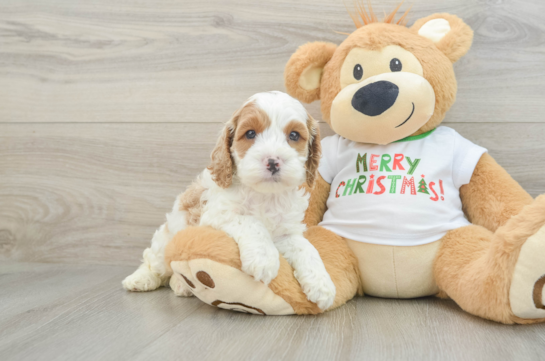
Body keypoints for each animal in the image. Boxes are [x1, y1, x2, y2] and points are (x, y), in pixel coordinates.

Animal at [123, 92, 336, 310]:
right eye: (250, 134)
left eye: (294, 135)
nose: (272, 162)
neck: (264, 194)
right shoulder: (215, 215)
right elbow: (251, 222)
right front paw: (263, 259)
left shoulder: (286, 231)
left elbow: (306, 247)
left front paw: (322, 284)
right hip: (165, 240)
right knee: (153, 261)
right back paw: (140, 279)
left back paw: (181, 285)